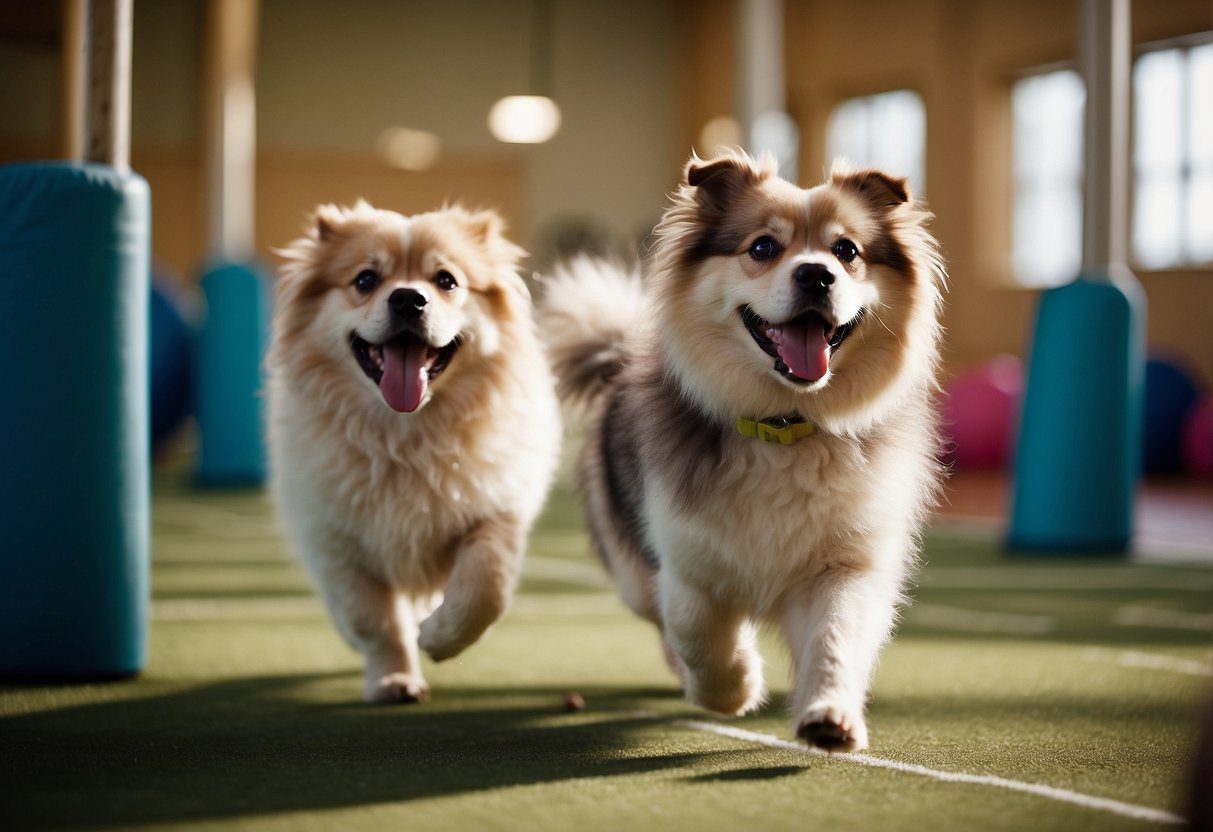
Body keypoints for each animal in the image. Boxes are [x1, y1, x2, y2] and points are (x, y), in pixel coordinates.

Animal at [268, 202, 560, 703]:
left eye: (446, 280)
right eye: (366, 279)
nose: (407, 299)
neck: (405, 435)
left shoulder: (496, 513)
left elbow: (486, 588)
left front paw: (439, 638)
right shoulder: (336, 544)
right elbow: (375, 620)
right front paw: (394, 678)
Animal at [543, 151, 946, 756]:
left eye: (846, 251)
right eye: (762, 248)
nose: (816, 273)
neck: (782, 427)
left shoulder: (846, 565)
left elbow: (836, 638)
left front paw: (830, 715)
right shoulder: (684, 561)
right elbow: (696, 631)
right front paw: (731, 690)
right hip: (632, 571)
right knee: (661, 618)